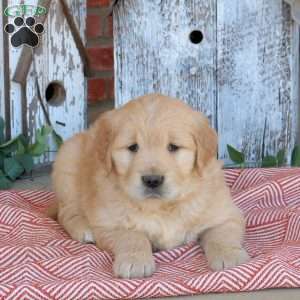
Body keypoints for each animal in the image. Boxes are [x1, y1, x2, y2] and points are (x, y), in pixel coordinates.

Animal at [51, 94, 248, 278]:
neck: (161, 207)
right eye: (133, 147)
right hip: (67, 162)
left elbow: (222, 234)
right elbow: (133, 236)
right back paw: (84, 229)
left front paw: (229, 256)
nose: (152, 180)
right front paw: (135, 261)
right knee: (66, 212)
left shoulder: (225, 214)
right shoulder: (109, 224)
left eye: (173, 147)